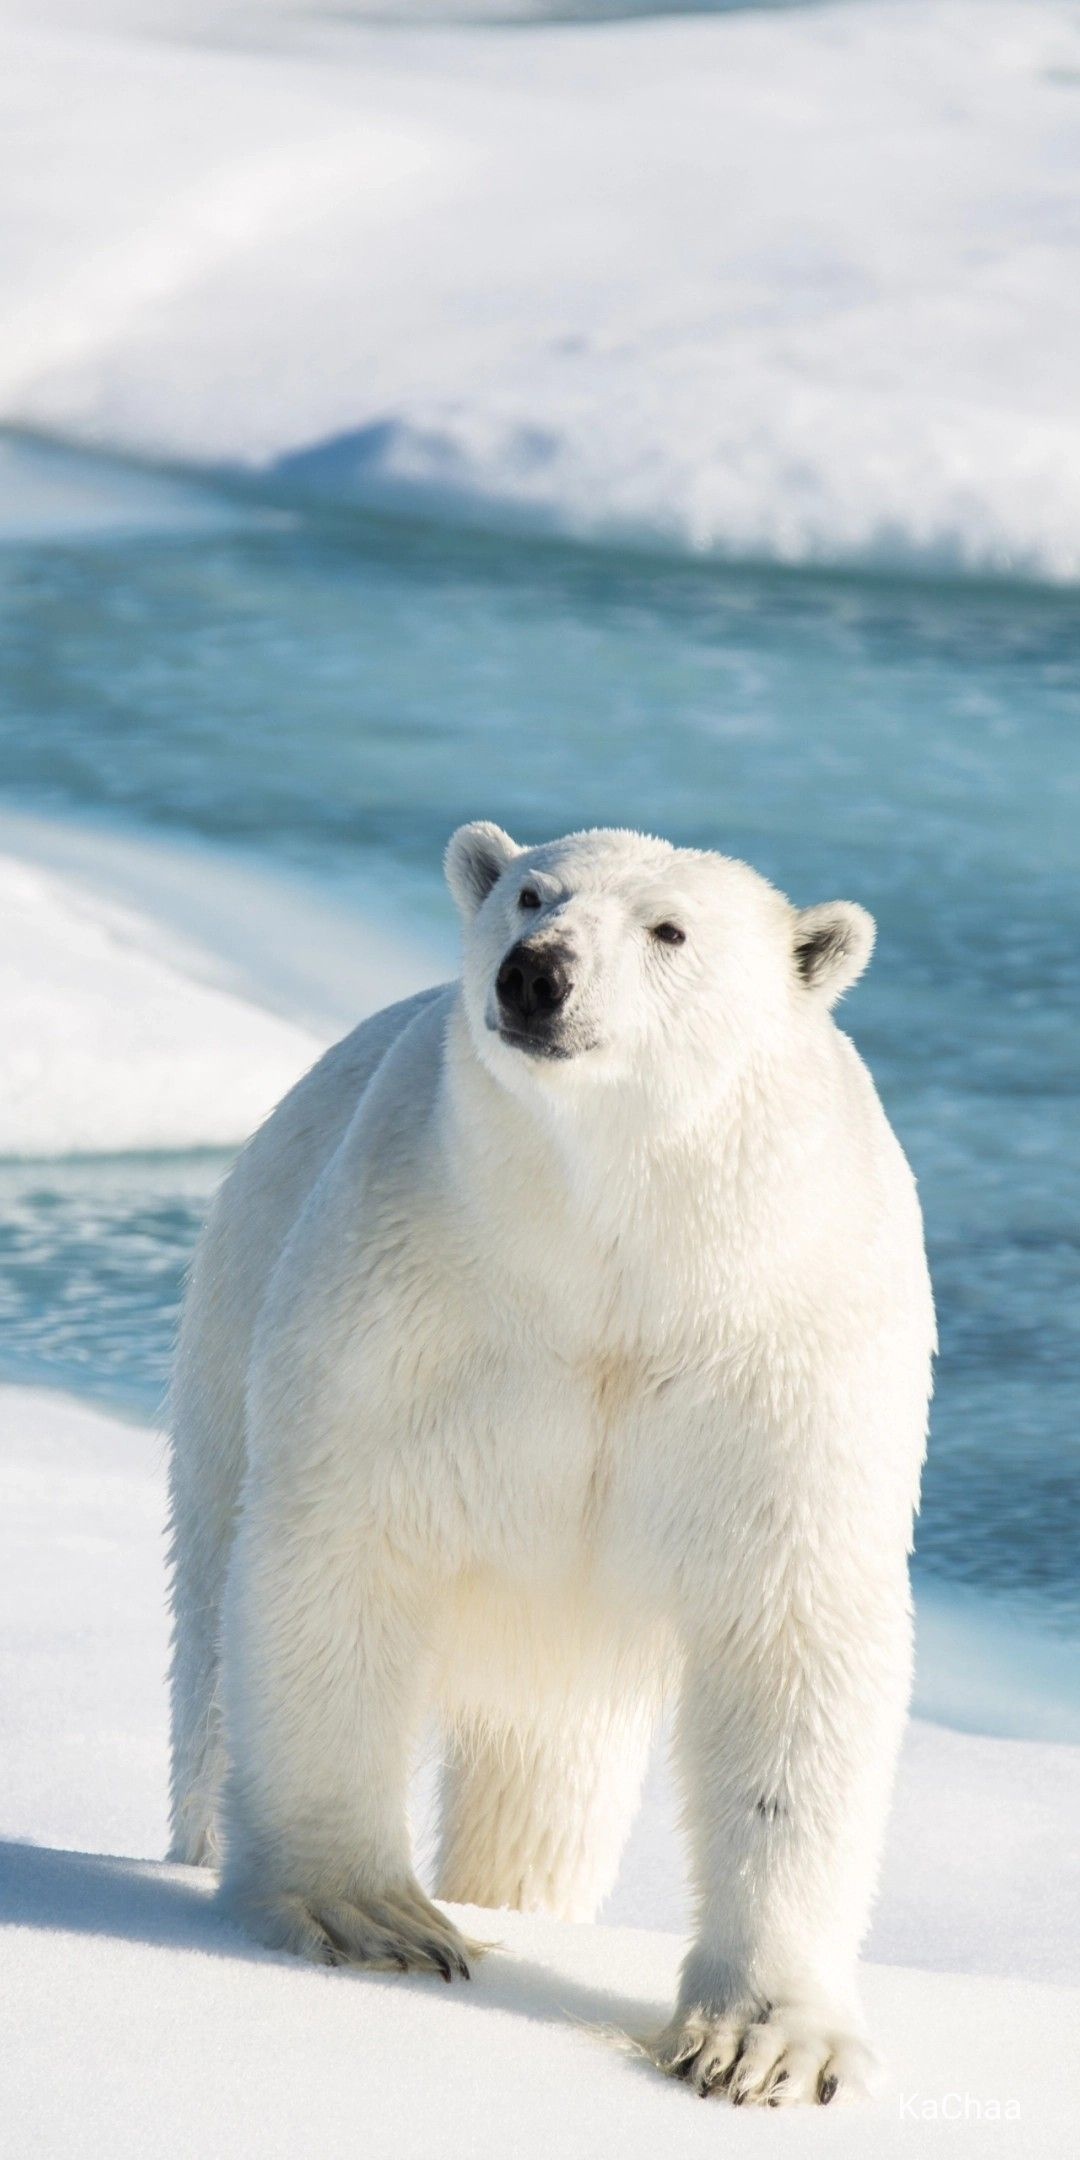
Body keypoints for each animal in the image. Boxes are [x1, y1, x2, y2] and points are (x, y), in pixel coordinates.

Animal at [166, 820, 928, 2108]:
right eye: (531, 894)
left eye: (670, 929)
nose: (537, 975)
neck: (615, 1246)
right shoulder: (412, 1300)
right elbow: (339, 1556)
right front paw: (370, 1916)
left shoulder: (788, 1354)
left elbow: (792, 1640)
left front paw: (767, 2041)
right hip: (229, 1331)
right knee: (209, 1659)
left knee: (547, 1778)